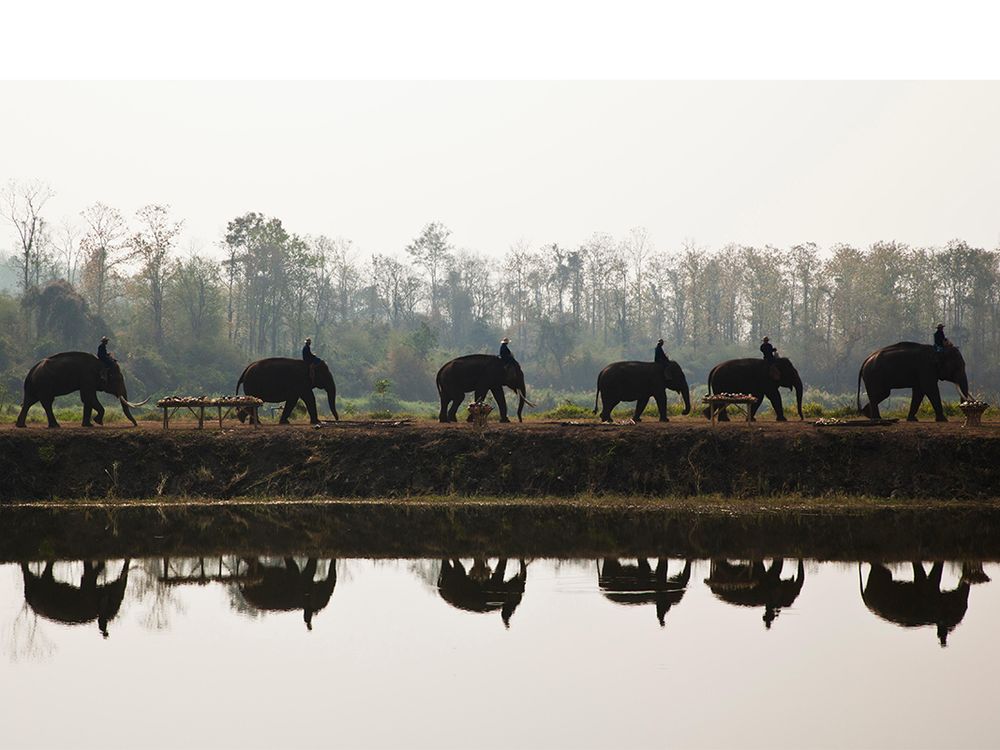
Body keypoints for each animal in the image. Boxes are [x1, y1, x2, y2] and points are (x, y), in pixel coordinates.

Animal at [15, 352, 148, 428]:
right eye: (118, 379)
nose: (135, 424)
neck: (101, 363)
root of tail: (30, 372)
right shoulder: (87, 378)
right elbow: (88, 397)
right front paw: (98, 422)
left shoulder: (88, 381)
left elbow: (87, 400)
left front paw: (89, 425)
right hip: (44, 384)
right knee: (47, 402)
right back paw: (55, 426)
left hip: (35, 386)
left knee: (29, 402)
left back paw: (21, 425)